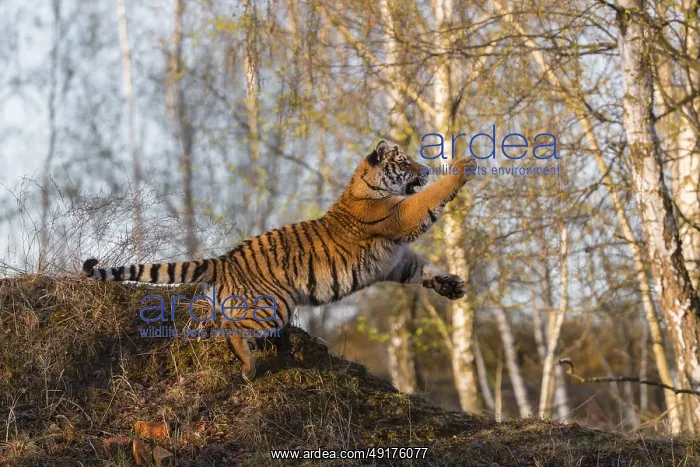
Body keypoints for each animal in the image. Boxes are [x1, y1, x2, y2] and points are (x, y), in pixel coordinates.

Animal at [83, 141, 478, 381]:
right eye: (404, 161)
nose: (425, 169)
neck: (368, 187)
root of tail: (224, 260)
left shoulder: (396, 261)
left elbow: (423, 270)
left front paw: (452, 286)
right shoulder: (403, 217)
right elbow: (432, 198)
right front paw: (464, 165)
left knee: (213, 323)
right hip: (271, 306)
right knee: (233, 332)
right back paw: (248, 366)